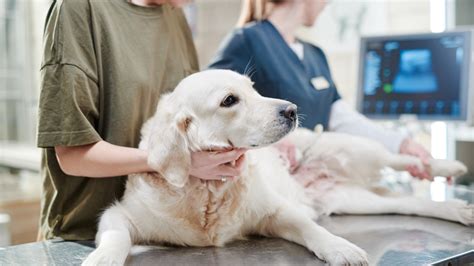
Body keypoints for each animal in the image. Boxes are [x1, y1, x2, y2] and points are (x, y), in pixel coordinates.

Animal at [83, 69, 472, 264]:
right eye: (229, 100)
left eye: (254, 88)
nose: (292, 109)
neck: (208, 191)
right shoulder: (119, 214)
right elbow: (117, 236)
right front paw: (103, 259)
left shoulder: (276, 211)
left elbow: (312, 229)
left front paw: (341, 248)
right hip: (354, 200)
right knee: (410, 202)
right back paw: (458, 209)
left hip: (349, 147)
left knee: (398, 158)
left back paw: (447, 165)